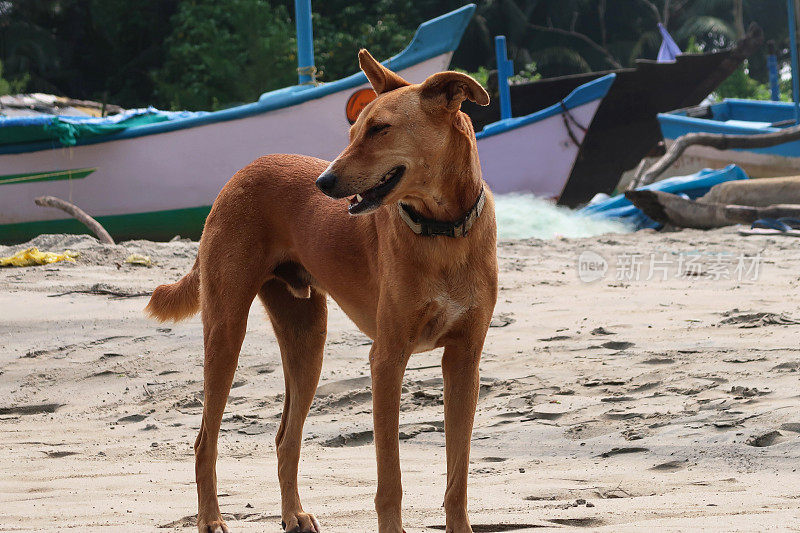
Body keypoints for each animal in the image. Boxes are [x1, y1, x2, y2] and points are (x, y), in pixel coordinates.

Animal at [144, 51, 494, 532]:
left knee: (285, 438)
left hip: (307, 340)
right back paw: (211, 518)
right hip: (226, 331)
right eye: (352, 131)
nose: (323, 183)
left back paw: (292, 514)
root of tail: (239, 173)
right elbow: (390, 478)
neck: (442, 233)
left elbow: (457, 475)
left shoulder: (464, 361)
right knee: (204, 441)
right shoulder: (387, 359)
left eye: (379, 128)